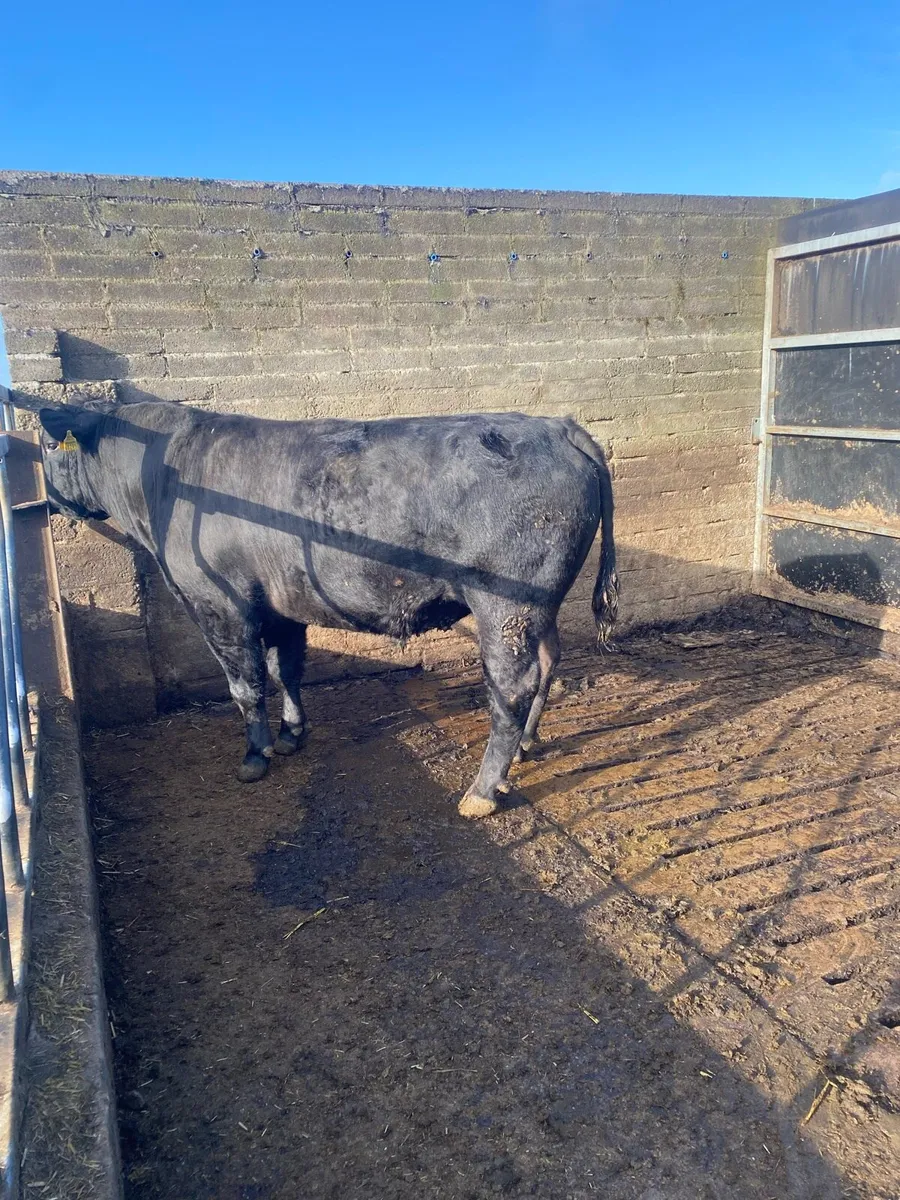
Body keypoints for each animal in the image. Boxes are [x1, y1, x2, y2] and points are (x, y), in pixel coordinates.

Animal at [37, 400, 618, 818]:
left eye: (45, 444)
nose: (51, 505)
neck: (162, 477)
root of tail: (556, 425)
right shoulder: (279, 604)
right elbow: (286, 669)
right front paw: (292, 734)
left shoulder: (218, 604)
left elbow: (245, 685)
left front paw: (255, 755)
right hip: (538, 607)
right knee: (549, 660)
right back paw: (526, 745)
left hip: (505, 605)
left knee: (511, 687)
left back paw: (483, 789)